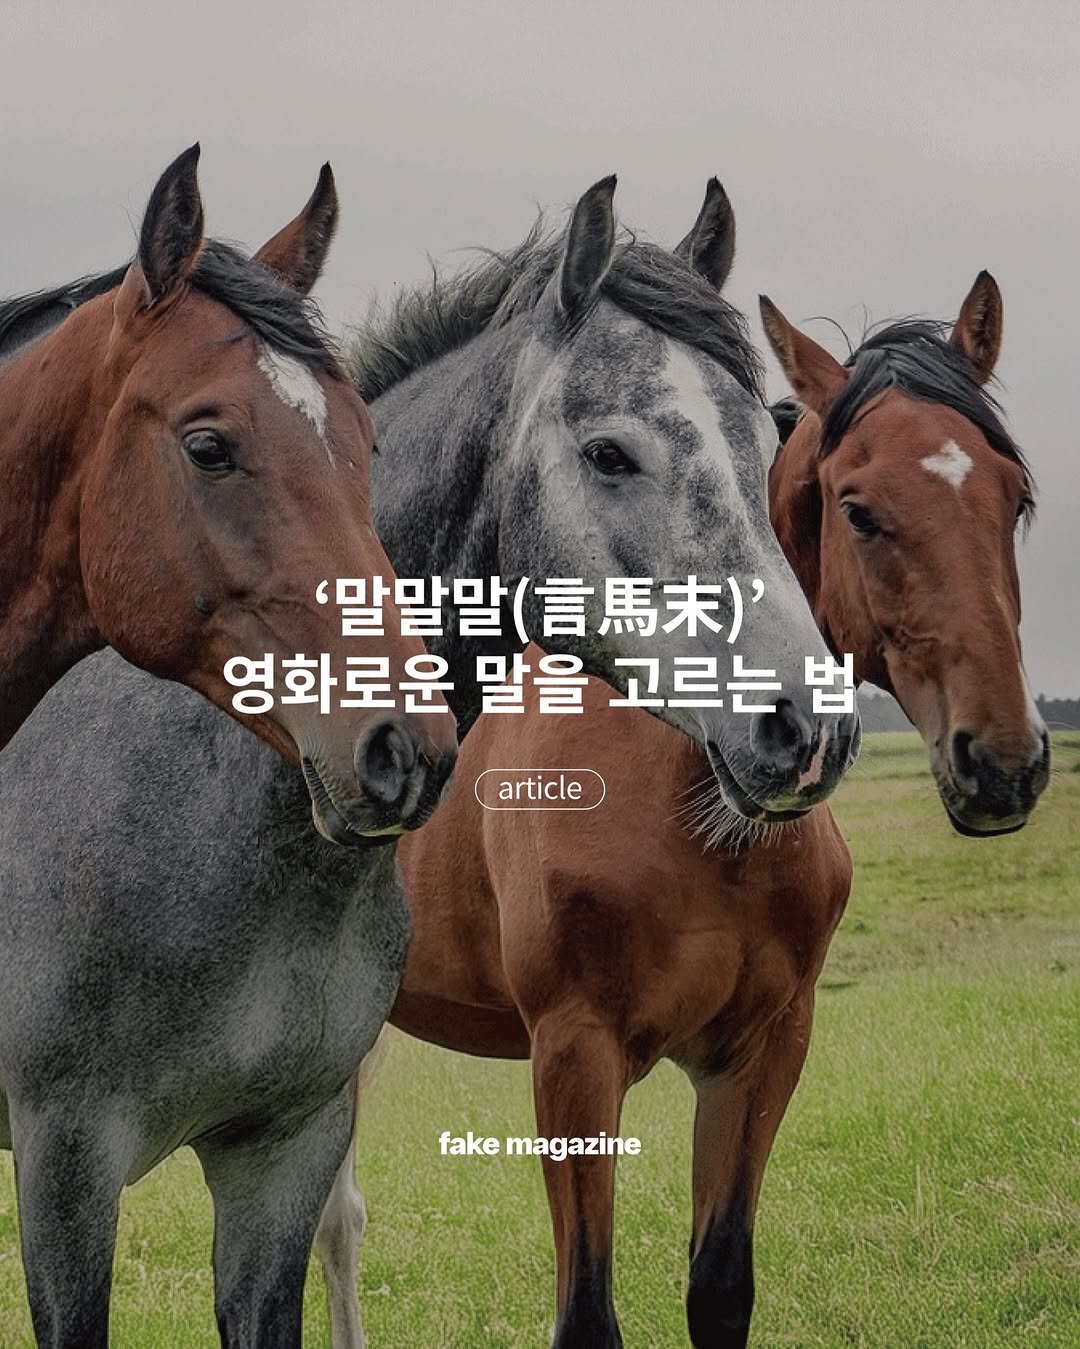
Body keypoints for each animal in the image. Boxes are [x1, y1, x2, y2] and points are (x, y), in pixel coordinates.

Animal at [322, 256, 1047, 1346]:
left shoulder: (761, 1054)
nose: (1003, 759)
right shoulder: (574, 1057)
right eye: (858, 508)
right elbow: (586, 1312)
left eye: (1016, 498)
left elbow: (720, 1287)